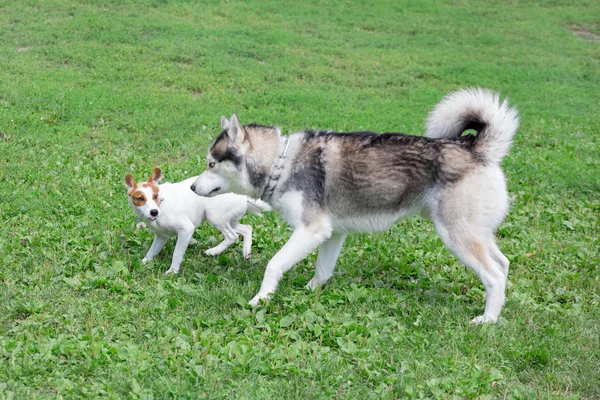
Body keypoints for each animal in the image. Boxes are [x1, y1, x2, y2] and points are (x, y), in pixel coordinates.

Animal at [125, 168, 270, 276]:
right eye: (140, 198)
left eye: (155, 196)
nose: (154, 212)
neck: (161, 203)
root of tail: (244, 195)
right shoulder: (161, 236)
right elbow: (151, 252)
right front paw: (143, 262)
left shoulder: (186, 229)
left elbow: (177, 253)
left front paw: (172, 271)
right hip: (229, 220)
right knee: (247, 228)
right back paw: (246, 252)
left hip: (215, 216)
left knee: (232, 236)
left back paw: (214, 251)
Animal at [191, 88, 516, 322]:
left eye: (211, 164)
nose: (193, 187)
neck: (281, 163)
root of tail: (475, 149)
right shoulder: (332, 233)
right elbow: (322, 271)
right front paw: (309, 292)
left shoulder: (311, 230)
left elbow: (274, 264)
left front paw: (261, 298)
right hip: (476, 233)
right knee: (503, 265)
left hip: (456, 235)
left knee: (494, 275)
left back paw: (487, 320)